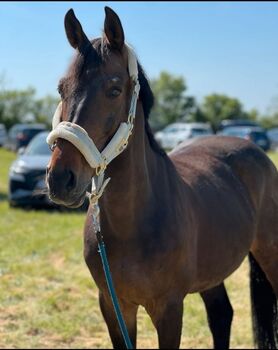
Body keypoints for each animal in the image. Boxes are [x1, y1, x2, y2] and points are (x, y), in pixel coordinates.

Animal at [46, 6, 278, 348]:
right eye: (62, 88)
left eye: (114, 90)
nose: (61, 179)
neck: (133, 223)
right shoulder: (114, 306)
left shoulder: (169, 309)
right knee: (221, 315)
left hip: (270, 253)